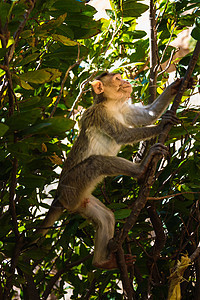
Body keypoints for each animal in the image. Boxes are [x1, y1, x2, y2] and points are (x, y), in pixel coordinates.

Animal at [32, 72, 183, 270]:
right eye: (117, 79)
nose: (126, 81)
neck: (111, 105)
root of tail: (59, 196)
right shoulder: (100, 115)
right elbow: (122, 135)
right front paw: (161, 125)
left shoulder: (123, 110)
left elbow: (146, 116)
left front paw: (175, 87)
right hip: (73, 184)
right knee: (96, 162)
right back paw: (140, 170)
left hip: (81, 200)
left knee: (107, 217)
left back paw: (102, 262)